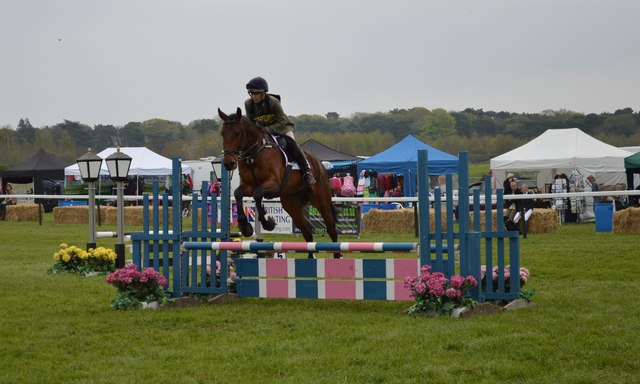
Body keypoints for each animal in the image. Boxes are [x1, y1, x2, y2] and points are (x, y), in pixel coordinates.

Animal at [218, 106, 342, 260]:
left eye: (238, 133)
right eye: (222, 133)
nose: (228, 163)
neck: (254, 154)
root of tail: (320, 165)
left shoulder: (273, 184)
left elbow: (257, 194)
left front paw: (267, 222)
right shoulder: (247, 186)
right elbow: (238, 193)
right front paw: (245, 226)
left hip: (321, 201)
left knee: (331, 229)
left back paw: (336, 256)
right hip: (292, 205)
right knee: (307, 232)